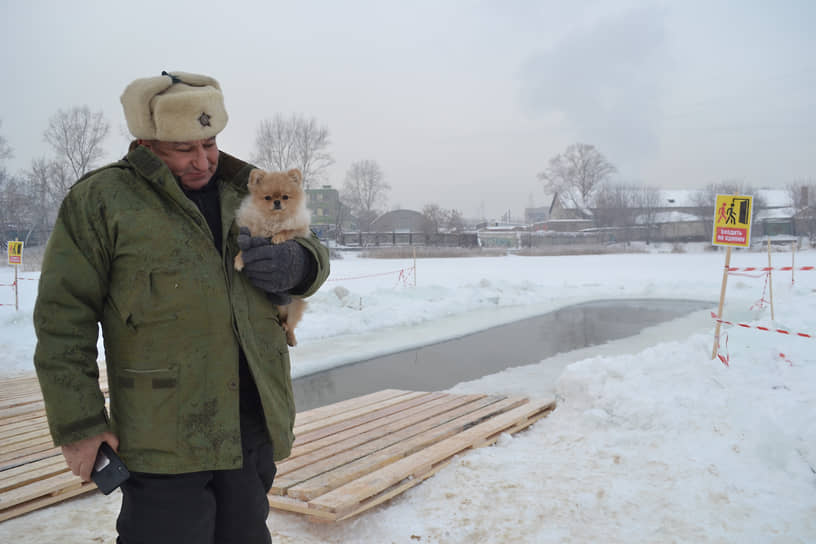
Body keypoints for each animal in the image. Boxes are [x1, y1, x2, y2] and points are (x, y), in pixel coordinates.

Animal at [237, 167, 314, 344]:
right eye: (268, 197)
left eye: (285, 197)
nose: (277, 202)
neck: (274, 220)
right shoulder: (254, 235)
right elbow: (244, 248)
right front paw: (238, 260)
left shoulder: (299, 228)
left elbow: (287, 230)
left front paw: (278, 237)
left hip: (294, 306)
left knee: (290, 324)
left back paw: (290, 336)